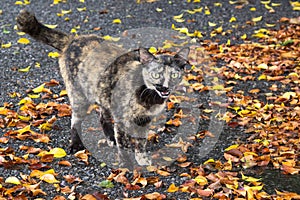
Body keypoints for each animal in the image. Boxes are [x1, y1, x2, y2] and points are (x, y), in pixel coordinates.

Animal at [16, 9, 189, 166]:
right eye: (155, 74)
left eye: (174, 75)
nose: (165, 87)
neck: (148, 98)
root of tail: (73, 39)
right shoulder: (122, 121)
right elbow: (124, 145)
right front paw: (127, 165)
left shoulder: (143, 121)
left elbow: (141, 142)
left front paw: (142, 159)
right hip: (78, 96)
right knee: (75, 120)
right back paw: (76, 144)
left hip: (102, 95)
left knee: (102, 116)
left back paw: (110, 138)